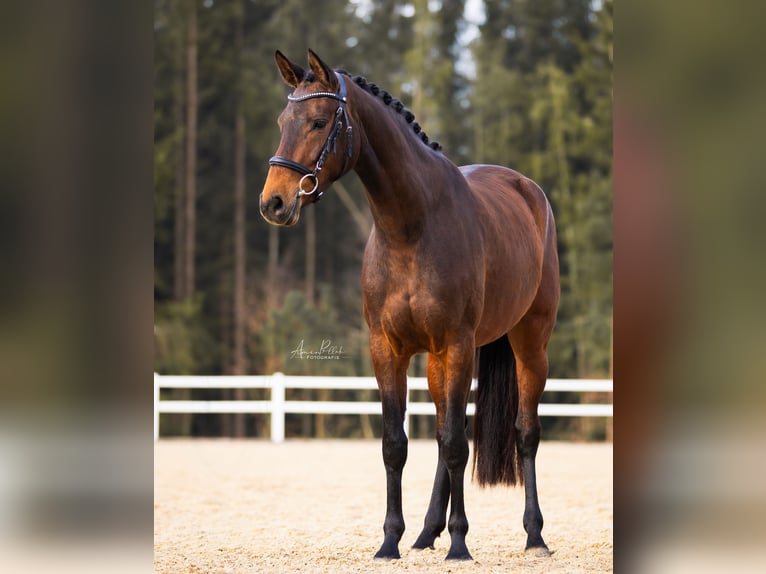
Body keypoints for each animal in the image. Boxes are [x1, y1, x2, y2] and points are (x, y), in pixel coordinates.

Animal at [260, 49, 560, 564]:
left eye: (319, 121)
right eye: (283, 121)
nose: (274, 202)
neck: (411, 227)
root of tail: (529, 190)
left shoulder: (456, 345)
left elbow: (458, 444)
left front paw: (459, 544)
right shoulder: (389, 350)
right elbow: (397, 445)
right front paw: (390, 541)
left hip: (528, 343)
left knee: (523, 434)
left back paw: (534, 535)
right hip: (439, 361)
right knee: (443, 433)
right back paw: (425, 533)